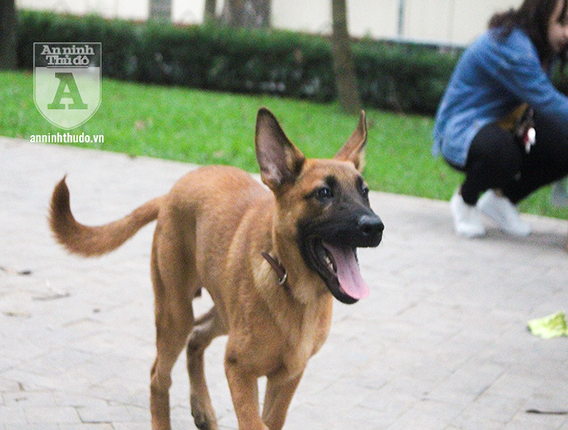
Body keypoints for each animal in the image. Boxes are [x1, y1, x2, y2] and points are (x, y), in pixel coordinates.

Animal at [48, 108, 384, 430]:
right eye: (323, 193)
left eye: (365, 192)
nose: (375, 227)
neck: (295, 290)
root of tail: (171, 193)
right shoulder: (239, 369)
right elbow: (254, 423)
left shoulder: (287, 378)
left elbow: (270, 421)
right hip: (175, 313)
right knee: (159, 375)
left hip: (223, 312)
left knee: (196, 337)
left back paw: (202, 409)